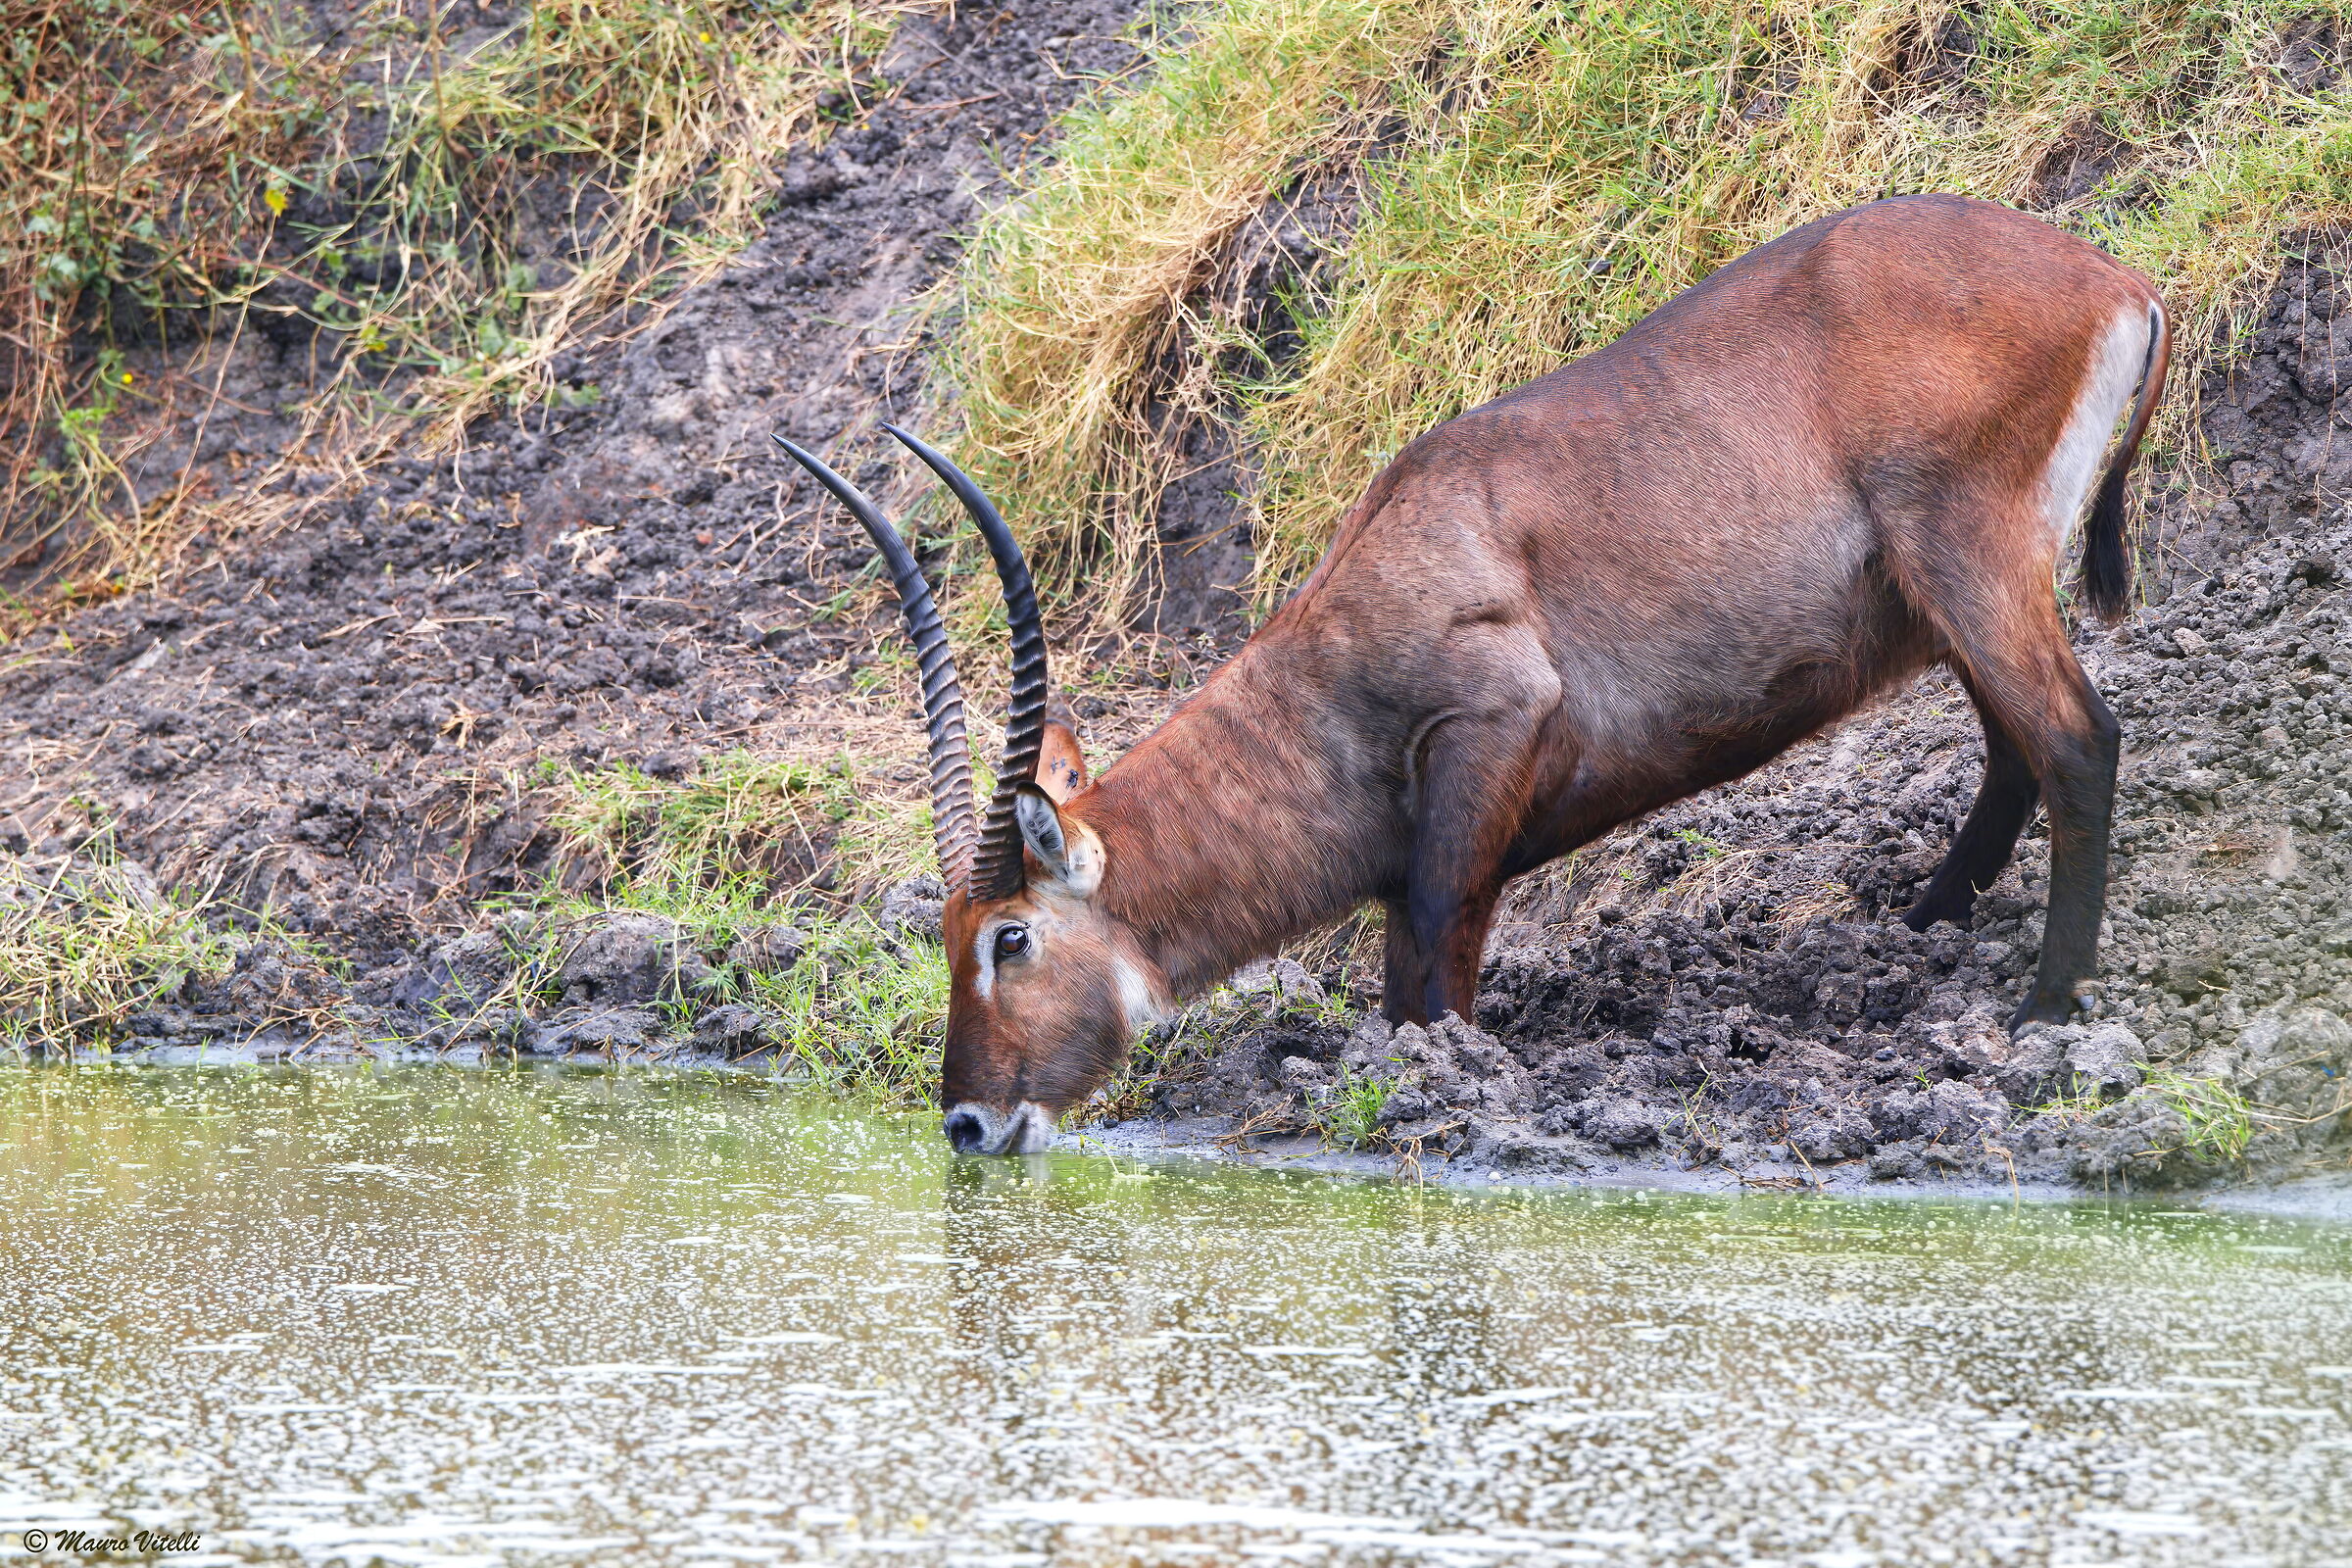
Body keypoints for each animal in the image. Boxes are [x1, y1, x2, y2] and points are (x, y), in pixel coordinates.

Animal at [776, 195, 2169, 1156]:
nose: (965, 1125)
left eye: (1008, 936)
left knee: (2077, 740)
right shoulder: (1415, 862)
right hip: (1945, 603)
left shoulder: (1486, 741)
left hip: (1970, 564)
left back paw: (2045, 1014)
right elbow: (1404, 985)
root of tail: (2118, 277)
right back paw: (1923, 937)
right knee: (2014, 752)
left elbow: (1437, 987)